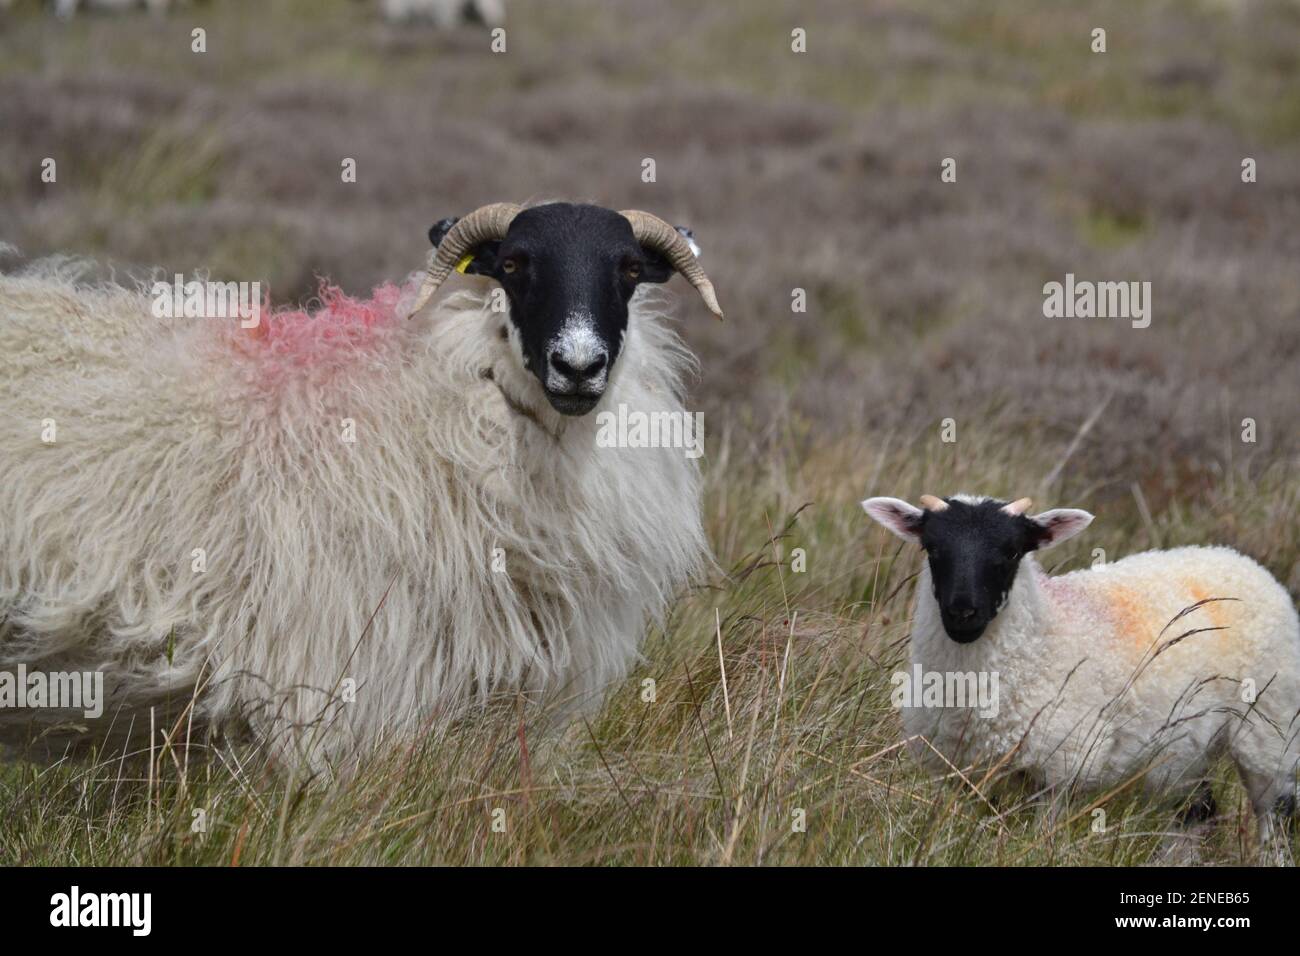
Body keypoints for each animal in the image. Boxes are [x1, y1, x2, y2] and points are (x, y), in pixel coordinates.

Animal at [863, 494, 1300, 853]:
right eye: (932, 548)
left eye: (1011, 551)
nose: (963, 613)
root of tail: (1234, 558)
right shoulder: (968, 775)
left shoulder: (1063, 766)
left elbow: (1041, 839)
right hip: (1186, 748)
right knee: (1194, 814)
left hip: (1269, 729)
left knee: (1274, 818)